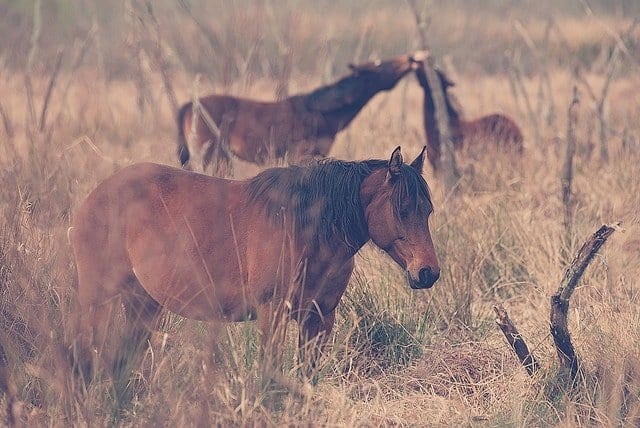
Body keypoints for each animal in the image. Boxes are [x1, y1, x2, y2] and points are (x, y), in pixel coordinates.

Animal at [70, 147, 440, 378]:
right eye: (403, 209)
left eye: (428, 210)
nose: (428, 272)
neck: (306, 228)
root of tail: (94, 197)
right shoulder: (272, 312)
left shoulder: (320, 318)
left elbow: (307, 375)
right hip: (97, 300)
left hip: (142, 303)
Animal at [175, 52, 428, 173]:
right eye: (380, 66)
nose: (411, 59)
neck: (322, 112)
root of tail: (189, 105)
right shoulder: (303, 153)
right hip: (207, 155)